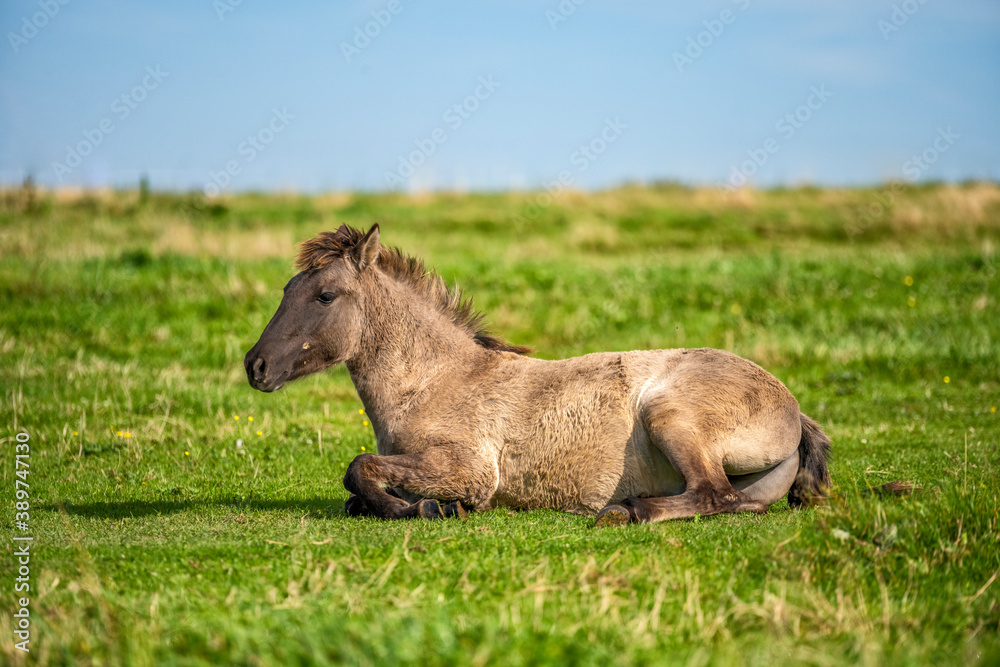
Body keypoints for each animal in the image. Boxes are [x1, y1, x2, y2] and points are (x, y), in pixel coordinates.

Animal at [244, 226, 836, 528]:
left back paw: (625, 511)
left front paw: (422, 508)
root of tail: (792, 410)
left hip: (669, 415)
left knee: (711, 494)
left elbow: (359, 469)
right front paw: (431, 506)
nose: (256, 366)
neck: (432, 382)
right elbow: (356, 490)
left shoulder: (468, 468)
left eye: (324, 296)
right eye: (287, 289)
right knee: (734, 502)